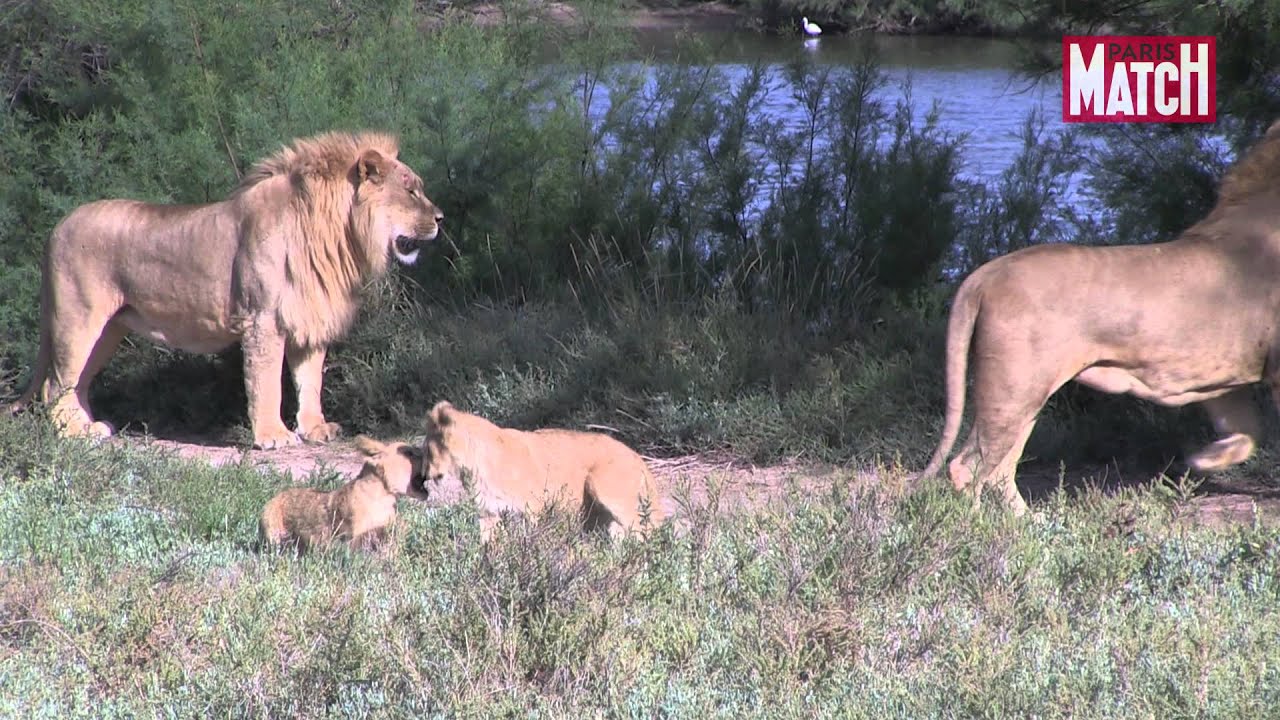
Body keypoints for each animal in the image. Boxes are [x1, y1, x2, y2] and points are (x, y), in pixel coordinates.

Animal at [9, 131, 442, 449]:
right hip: (78, 318)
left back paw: (88, 427)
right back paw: (73, 435)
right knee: (54, 385)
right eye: (411, 191)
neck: (339, 232)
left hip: (108, 330)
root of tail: (57, 227)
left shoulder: (308, 316)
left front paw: (315, 429)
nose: (440, 218)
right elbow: (266, 382)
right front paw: (273, 436)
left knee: (76, 383)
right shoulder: (262, 320)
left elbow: (310, 381)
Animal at [259, 435, 428, 552]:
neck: (384, 496)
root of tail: (276, 496)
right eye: (409, 452)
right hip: (271, 528)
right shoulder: (350, 538)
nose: (429, 453)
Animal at [420, 401, 665, 543]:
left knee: (643, 531)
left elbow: (530, 539)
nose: (423, 475)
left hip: (602, 486)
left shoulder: (532, 509)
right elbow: (488, 545)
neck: (474, 467)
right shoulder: (488, 513)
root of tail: (637, 456)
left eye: (427, 451)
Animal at [918, 119, 1280, 516]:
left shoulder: (1223, 379)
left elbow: (1249, 432)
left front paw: (1205, 458)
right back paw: (983, 525)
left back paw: (1032, 522)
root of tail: (985, 273)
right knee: (967, 467)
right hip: (1012, 388)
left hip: (1026, 395)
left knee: (999, 468)